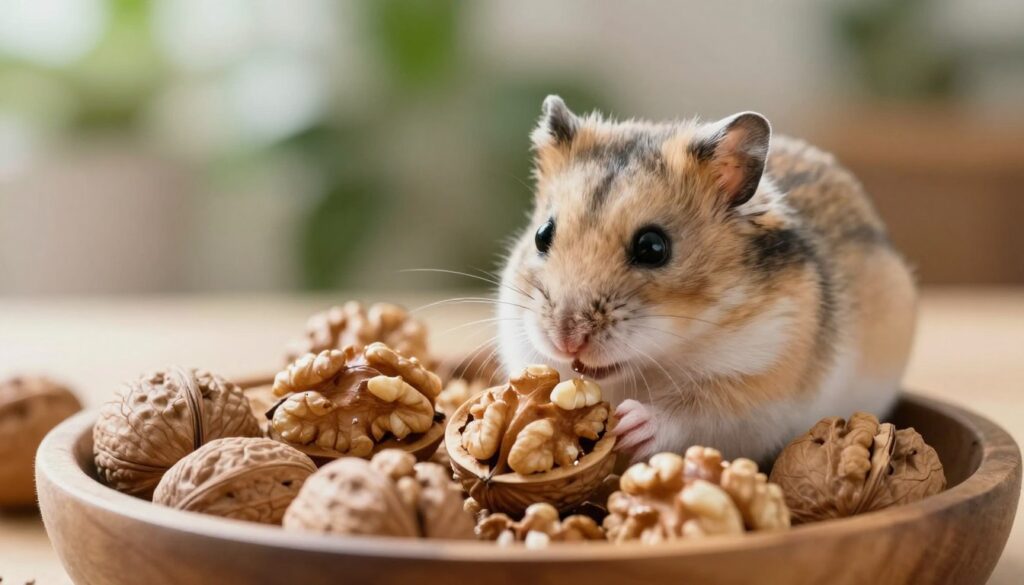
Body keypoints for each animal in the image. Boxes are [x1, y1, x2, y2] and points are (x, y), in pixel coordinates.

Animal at [496, 95, 916, 463]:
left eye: (653, 247)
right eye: (542, 235)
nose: (566, 341)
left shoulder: (755, 390)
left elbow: (691, 413)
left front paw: (630, 423)